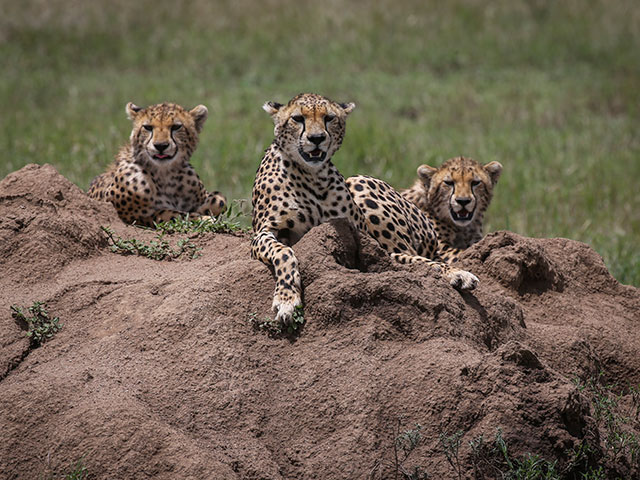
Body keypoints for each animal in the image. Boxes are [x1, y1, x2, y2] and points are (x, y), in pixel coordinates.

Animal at [87, 102, 226, 226]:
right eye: (148, 127)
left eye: (176, 127)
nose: (161, 146)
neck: (166, 174)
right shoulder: (131, 215)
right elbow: (170, 214)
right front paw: (203, 218)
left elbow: (220, 199)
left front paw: (205, 210)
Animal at [250, 93, 480, 326]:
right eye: (297, 118)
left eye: (329, 118)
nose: (316, 138)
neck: (312, 175)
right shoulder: (263, 233)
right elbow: (284, 252)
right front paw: (287, 299)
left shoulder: (364, 239)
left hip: (360, 183)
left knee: (413, 256)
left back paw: (457, 273)